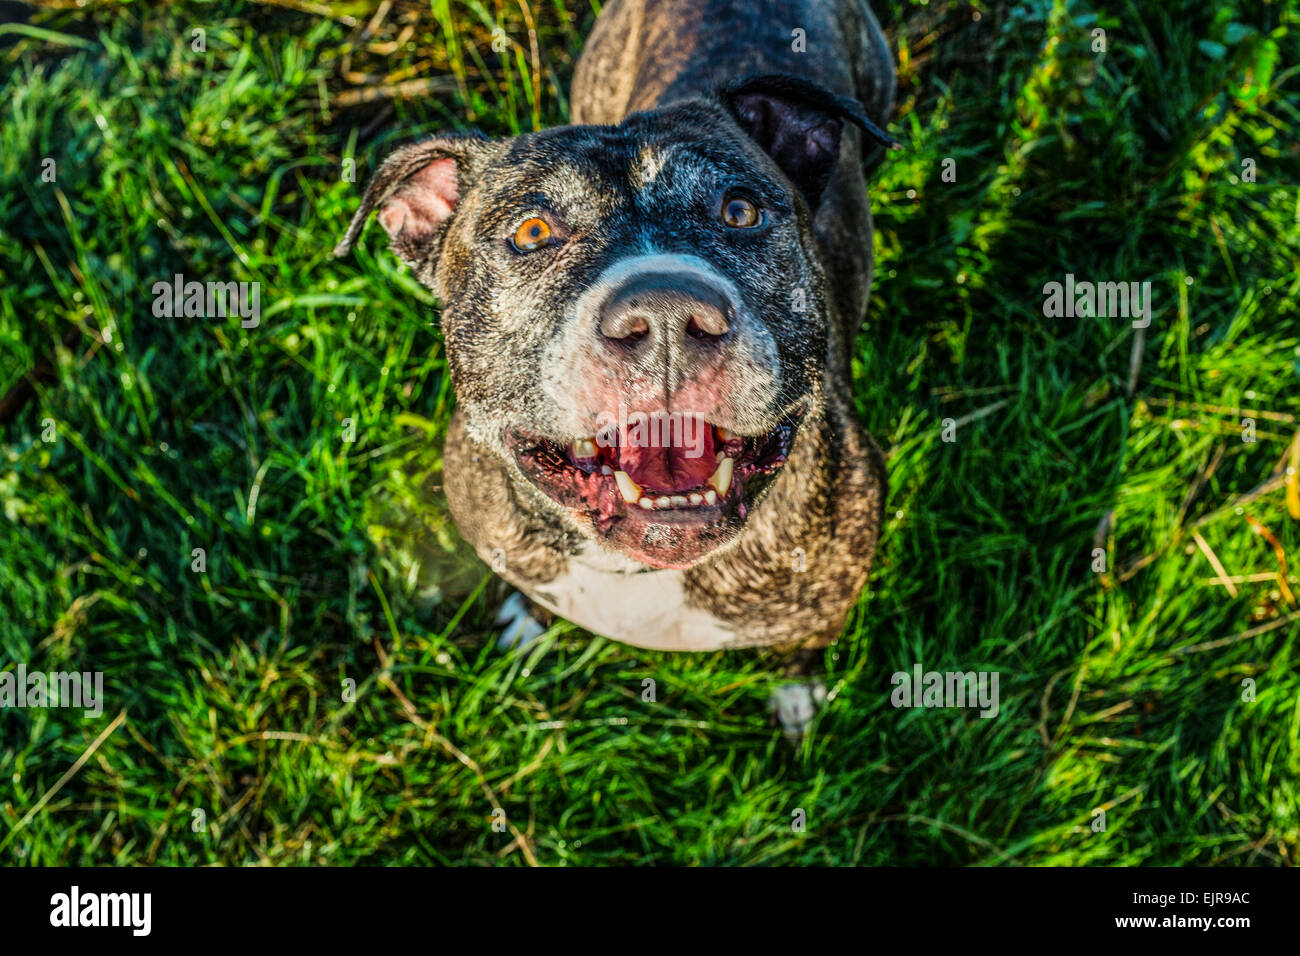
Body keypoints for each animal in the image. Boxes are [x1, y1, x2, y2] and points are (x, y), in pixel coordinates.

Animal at [338, 0, 894, 733]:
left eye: (739, 210)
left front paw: (798, 695)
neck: (638, 571)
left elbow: (799, 649)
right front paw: (527, 618)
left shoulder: (830, 591)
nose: (665, 313)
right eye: (532, 233)